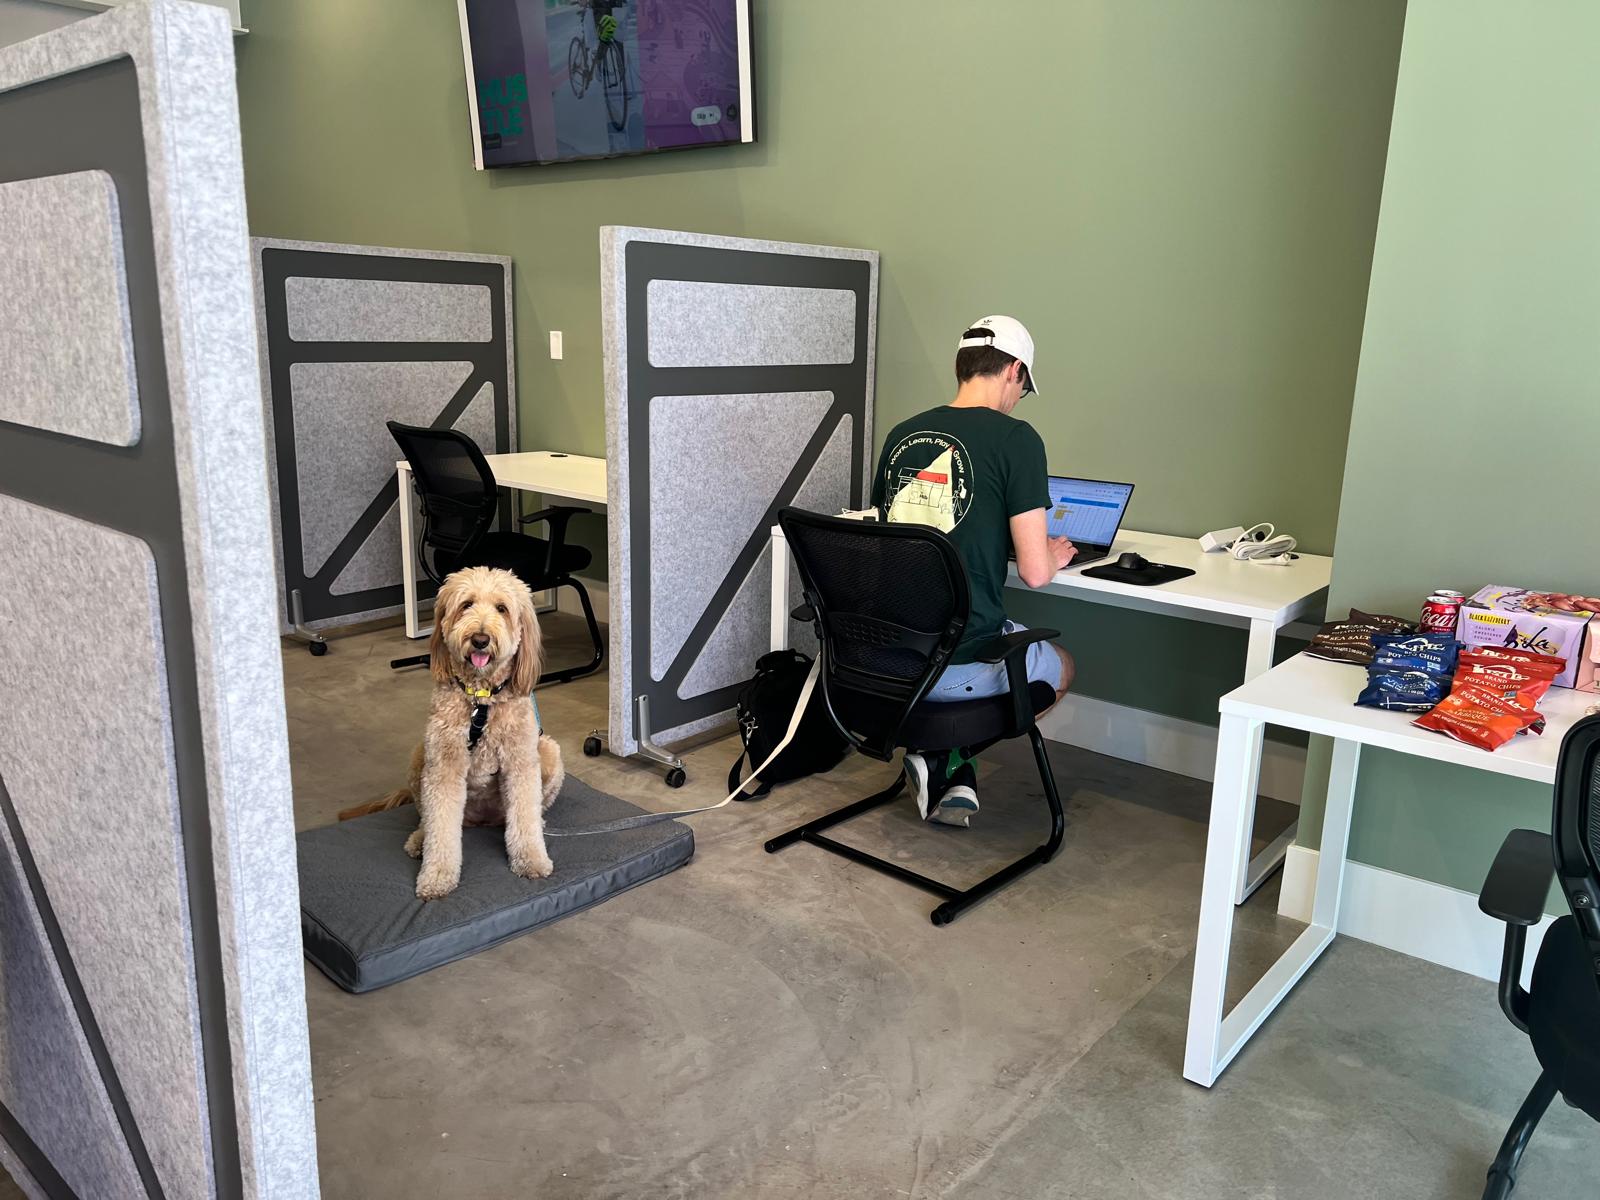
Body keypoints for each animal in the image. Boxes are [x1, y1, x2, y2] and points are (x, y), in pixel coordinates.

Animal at [336, 569, 563, 896]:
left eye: (502, 608)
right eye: (466, 604)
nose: (480, 639)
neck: (481, 698)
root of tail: (481, 821)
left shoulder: (520, 762)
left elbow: (524, 815)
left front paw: (532, 859)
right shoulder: (443, 766)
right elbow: (440, 827)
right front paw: (437, 877)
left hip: (548, 751)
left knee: (528, 811)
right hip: (419, 757)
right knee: (427, 819)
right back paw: (419, 839)